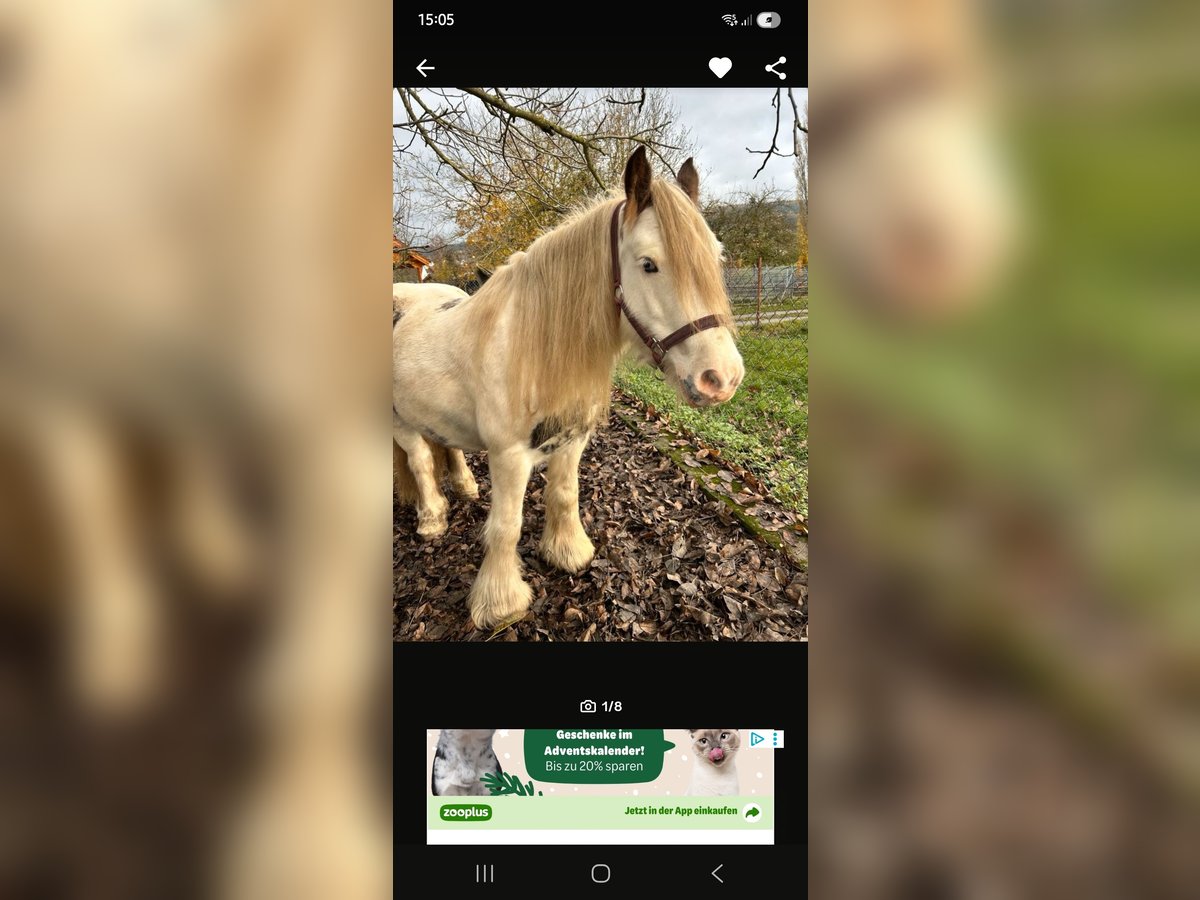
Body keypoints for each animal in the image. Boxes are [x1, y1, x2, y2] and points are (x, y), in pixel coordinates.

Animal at [392, 147, 744, 629]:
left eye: (716, 258)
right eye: (649, 265)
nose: (722, 378)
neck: (533, 343)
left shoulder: (571, 441)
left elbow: (564, 495)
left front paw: (567, 553)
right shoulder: (509, 457)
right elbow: (506, 525)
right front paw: (500, 603)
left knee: (445, 447)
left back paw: (464, 487)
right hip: (399, 421)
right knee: (421, 462)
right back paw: (432, 519)